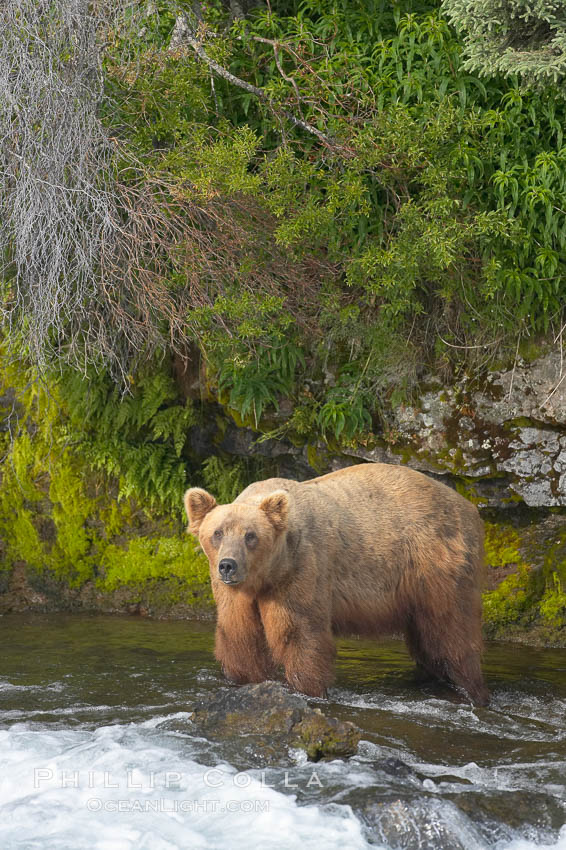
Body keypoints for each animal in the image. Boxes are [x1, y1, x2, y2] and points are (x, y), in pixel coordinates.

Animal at [184, 460, 490, 704]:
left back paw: (471, 690)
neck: (267, 576)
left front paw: (308, 688)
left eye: (251, 536)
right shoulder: (235, 595)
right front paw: (244, 678)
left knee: (451, 632)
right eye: (217, 533)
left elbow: (299, 633)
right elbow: (239, 634)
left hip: (435, 562)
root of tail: (469, 508)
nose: (228, 565)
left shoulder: (301, 570)